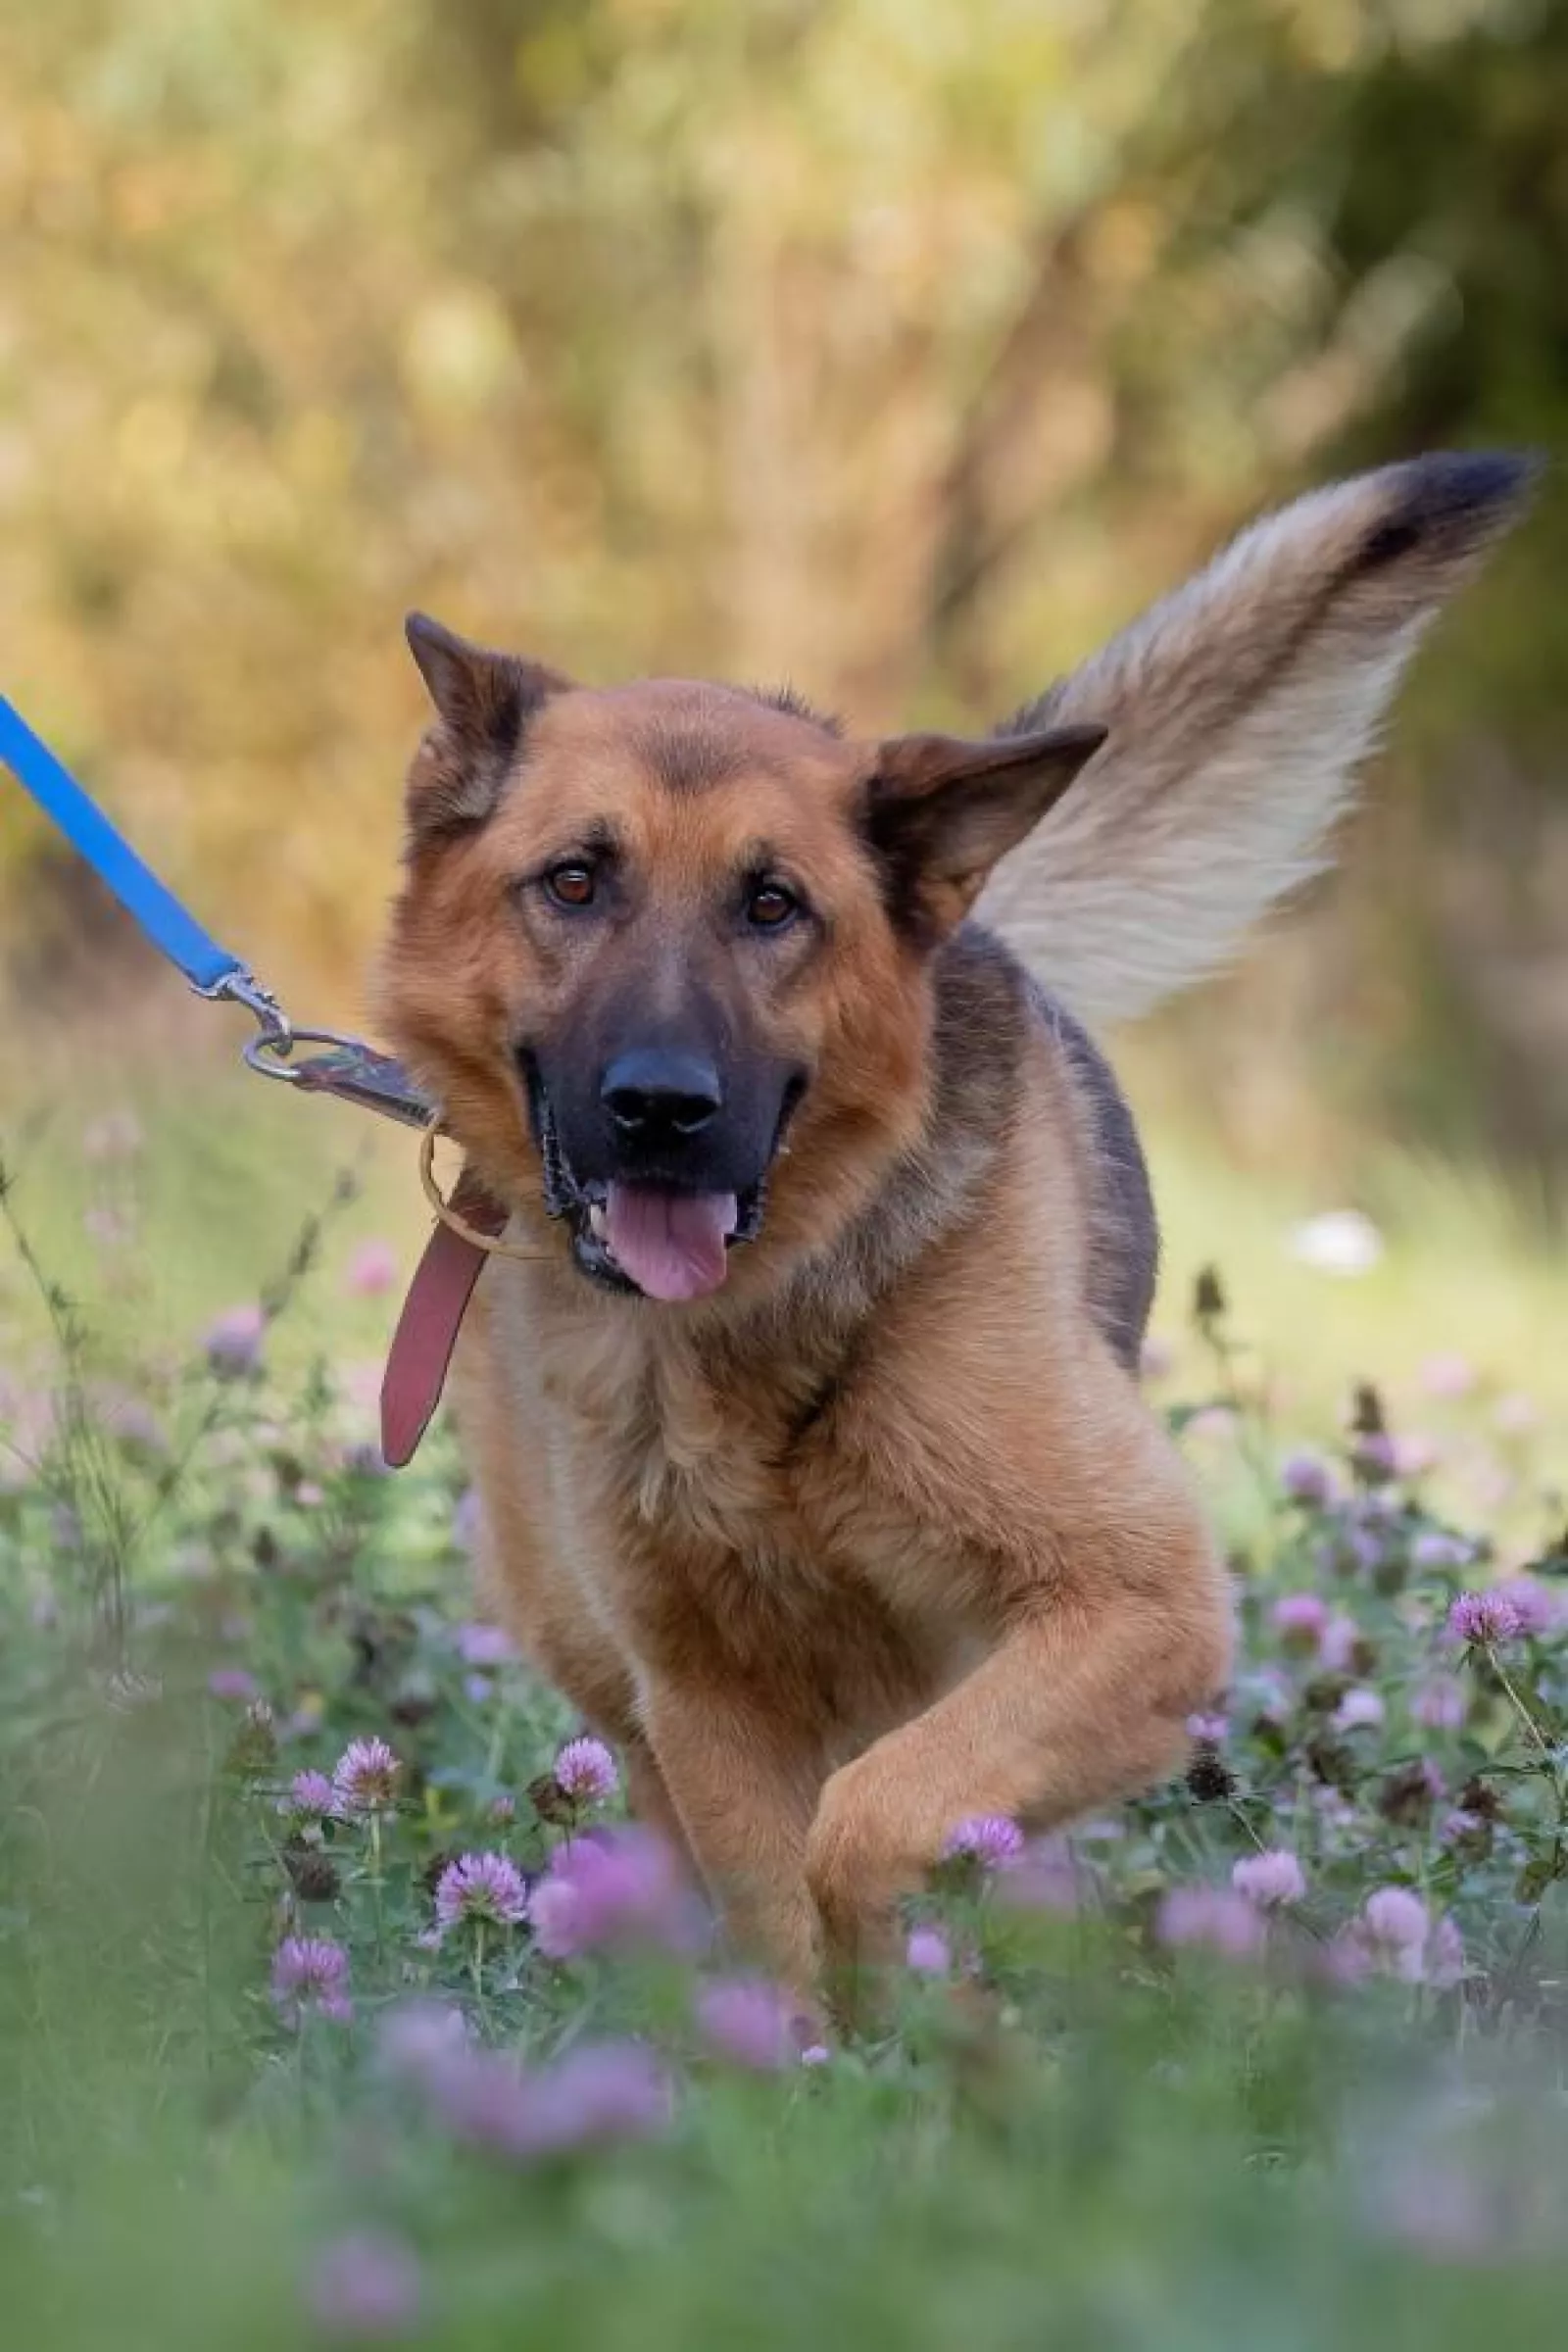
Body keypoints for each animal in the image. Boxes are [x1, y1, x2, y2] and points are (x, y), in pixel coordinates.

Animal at [378, 450, 1532, 1994]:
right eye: (573, 881)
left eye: (772, 905)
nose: (662, 1108)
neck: (773, 1315)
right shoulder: (704, 1693)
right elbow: (778, 1917)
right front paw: (824, 2044)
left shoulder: (1135, 1609)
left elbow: (873, 1822)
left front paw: (905, 1991)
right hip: (591, 1651)